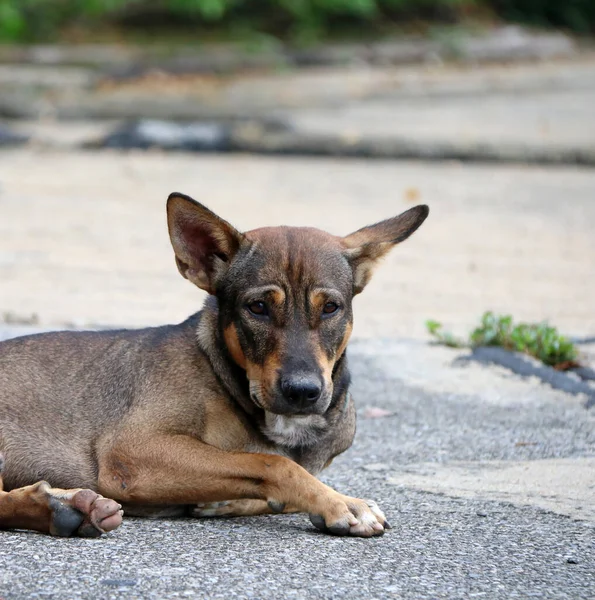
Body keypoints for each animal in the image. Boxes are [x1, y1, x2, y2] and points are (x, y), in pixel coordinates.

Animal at [0, 193, 428, 540]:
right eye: (258, 307)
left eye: (331, 308)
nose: (303, 392)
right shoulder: (132, 451)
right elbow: (273, 463)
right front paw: (339, 503)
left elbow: (275, 472)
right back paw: (62, 509)